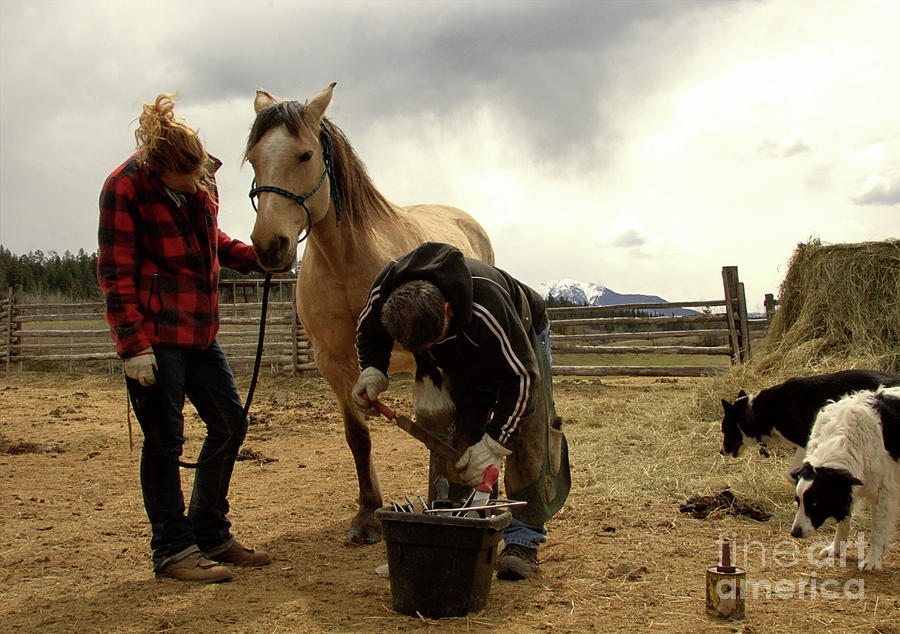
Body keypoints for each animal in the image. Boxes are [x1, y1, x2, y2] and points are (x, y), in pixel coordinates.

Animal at [246, 81, 496, 540]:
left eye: (304, 155)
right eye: (254, 158)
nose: (270, 246)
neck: (344, 263)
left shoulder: (422, 351)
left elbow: (434, 423)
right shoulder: (336, 364)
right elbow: (357, 437)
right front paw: (366, 515)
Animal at [788, 382, 900, 572]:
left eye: (815, 503)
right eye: (798, 501)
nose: (795, 533)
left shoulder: (883, 491)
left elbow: (878, 530)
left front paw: (872, 560)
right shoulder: (846, 487)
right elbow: (843, 522)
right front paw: (836, 549)